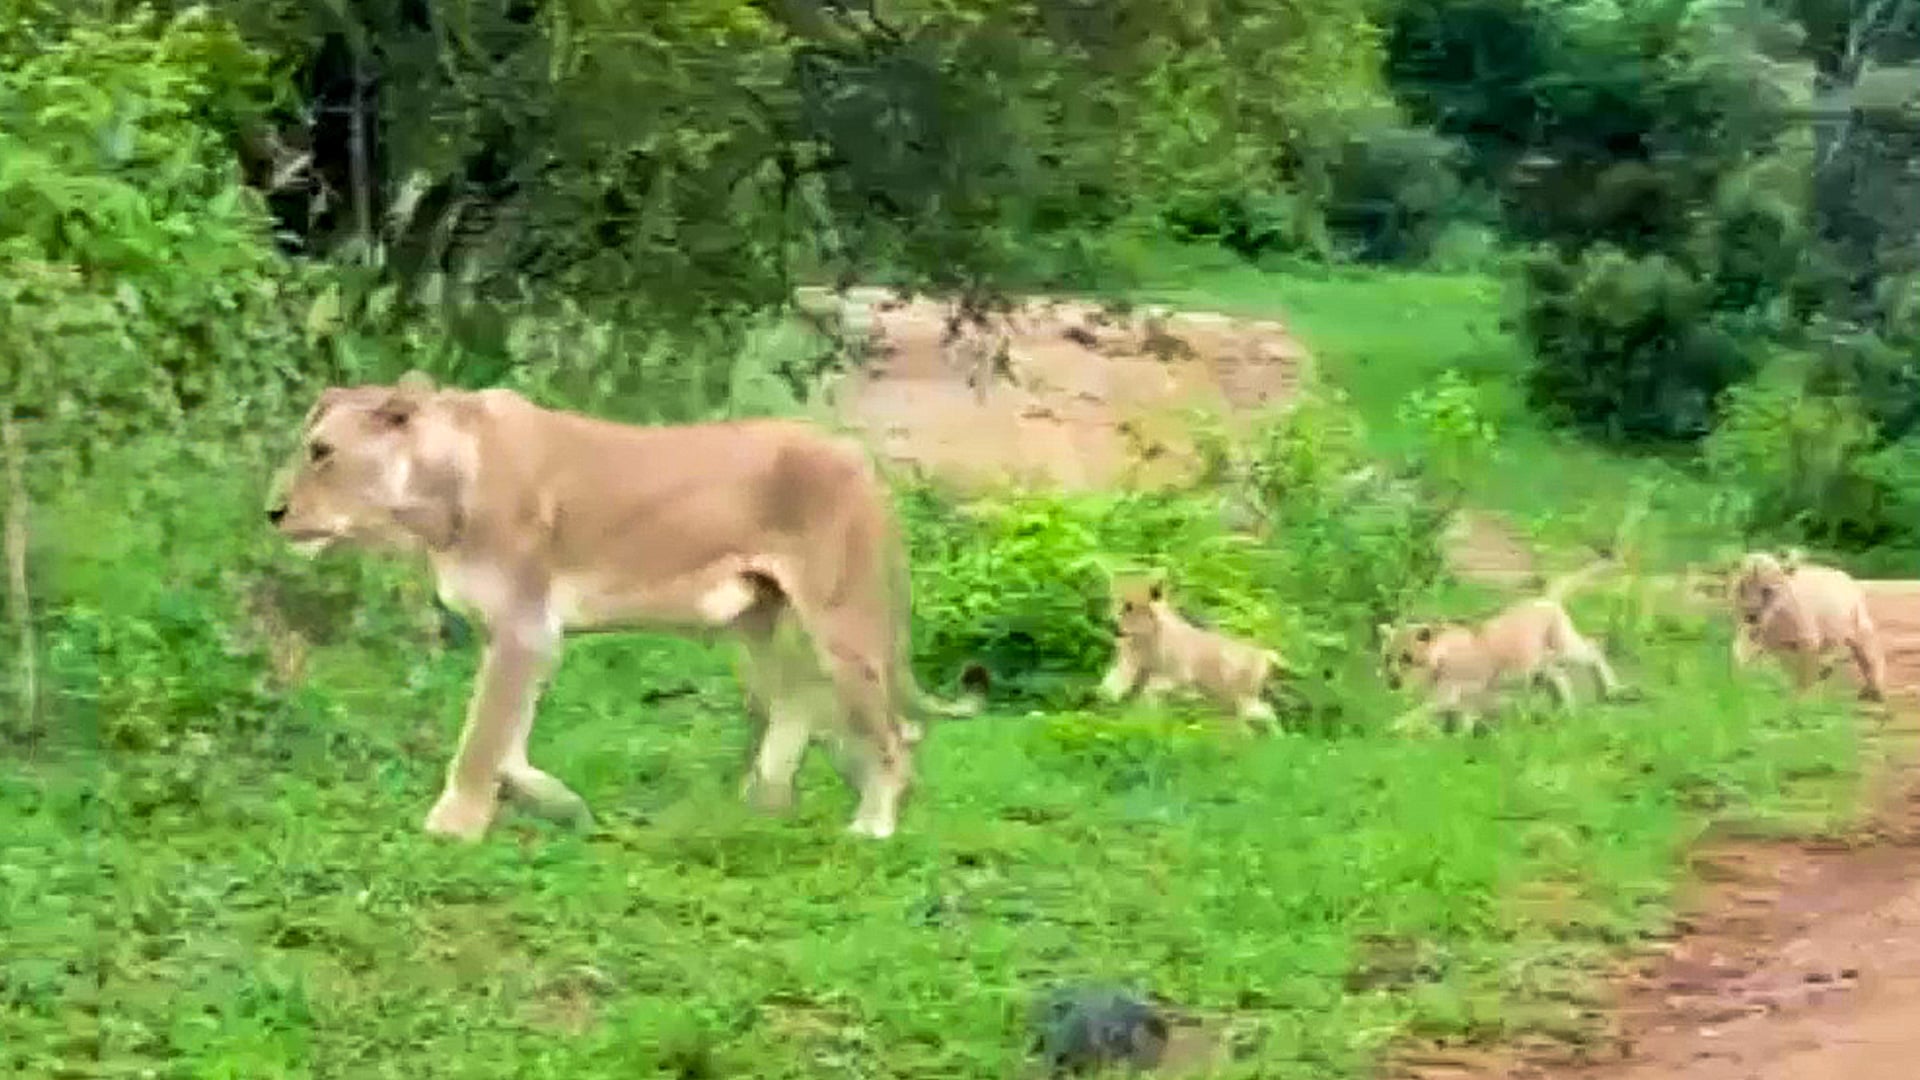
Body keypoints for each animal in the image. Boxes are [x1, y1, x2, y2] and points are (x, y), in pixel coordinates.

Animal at [265, 372, 980, 843]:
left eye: (320, 452)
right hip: (758, 628)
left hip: (843, 625)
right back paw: (764, 802)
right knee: (802, 703)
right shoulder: (521, 636)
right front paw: (561, 805)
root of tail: (861, 458)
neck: (432, 503)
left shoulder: (526, 627)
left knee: (895, 735)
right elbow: (507, 740)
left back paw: (871, 824)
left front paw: (454, 826)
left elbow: (481, 736)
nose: (272, 512)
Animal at [1097, 574, 1289, 732]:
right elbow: (1112, 687)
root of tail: (1265, 656)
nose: (1115, 629)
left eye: (1130, 606)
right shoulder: (1129, 665)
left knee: (1264, 713)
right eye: (1115, 600)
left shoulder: (1175, 676)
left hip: (1241, 698)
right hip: (1232, 699)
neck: (1147, 638)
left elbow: (1149, 692)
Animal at [1379, 558, 1625, 734]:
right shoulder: (1463, 699)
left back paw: (1610, 689)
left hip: (1566, 648)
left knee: (1593, 649)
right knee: (1560, 678)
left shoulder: (1447, 695)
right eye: (1387, 658)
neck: (1440, 657)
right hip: (1539, 666)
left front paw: (1395, 727)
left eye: (1407, 657)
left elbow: (1420, 712)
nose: (1393, 682)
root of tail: (1544, 598)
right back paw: (1563, 712)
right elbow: (1458, 719)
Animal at [1729, 549, 1886, 702]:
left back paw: (1874, 692)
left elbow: (1804, 675)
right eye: (1741, 588)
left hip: (1861, 627)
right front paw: (1739, 685)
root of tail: (1845, 576)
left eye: (1767, 590)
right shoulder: (1756, 637)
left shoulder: (1807, 642)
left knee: (1870, 656)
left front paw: (1802, 700)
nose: (1751, 616)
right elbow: (1740, 655)